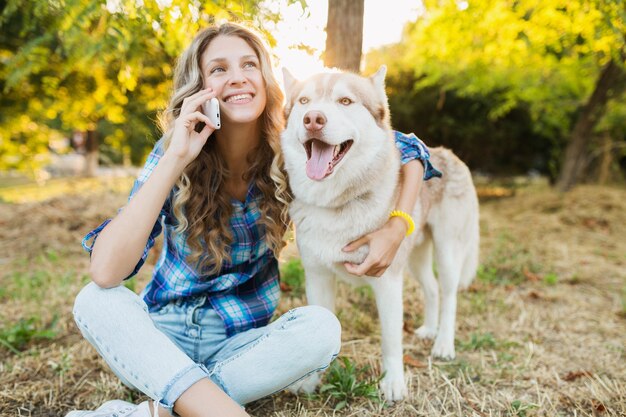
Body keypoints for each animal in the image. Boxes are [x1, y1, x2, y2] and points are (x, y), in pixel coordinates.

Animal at [280, 66, 480, 400]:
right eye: (304, 101)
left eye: (345, 101)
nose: (313, 119)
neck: (337, 204)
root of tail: (451, 154)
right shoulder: (317, 277)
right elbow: (321, 329)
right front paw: (310, 382)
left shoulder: (387, 281)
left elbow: (390, 339)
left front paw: (393, 383)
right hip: (415, 258)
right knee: (432, 289)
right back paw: (429, 330)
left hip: (447, 251)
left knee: (450, 295)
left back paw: (443, 343)